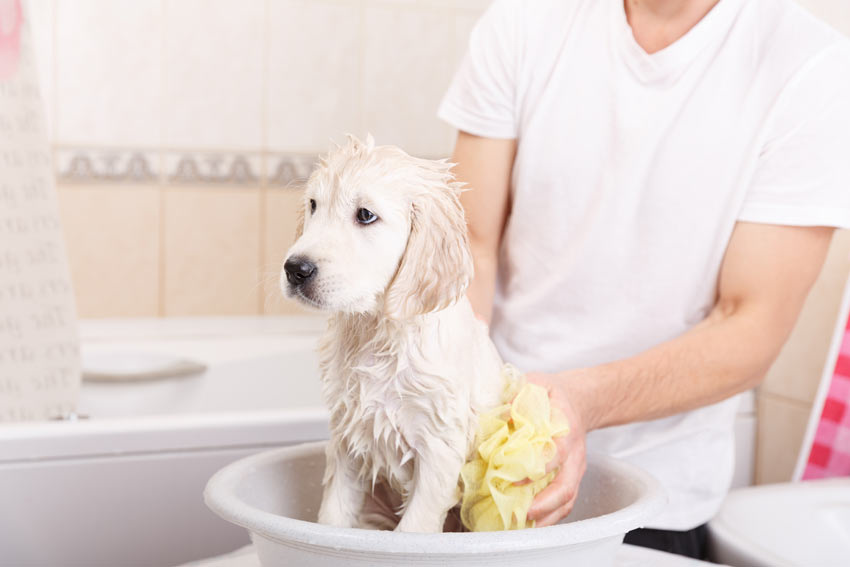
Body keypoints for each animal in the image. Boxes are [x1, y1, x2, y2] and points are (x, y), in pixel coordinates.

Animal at [282, 135, 504, 536]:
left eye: (365, 215)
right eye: (313, 205)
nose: (295, 269)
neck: (378, 334)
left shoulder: (438, 446)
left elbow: (414, 527)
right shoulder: (347, 437)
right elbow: (334, 516)